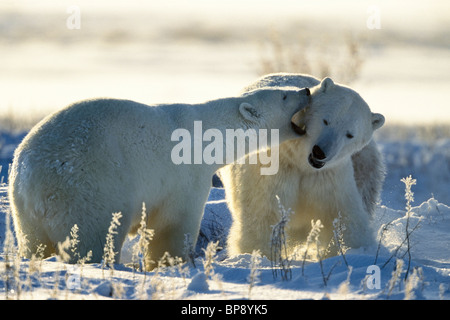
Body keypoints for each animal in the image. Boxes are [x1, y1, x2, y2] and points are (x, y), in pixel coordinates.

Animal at [7, 85, 310, 268]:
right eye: (284, 96)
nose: (306, 90)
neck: (207, 134)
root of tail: (31, 177)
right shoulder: (185, 176)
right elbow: (172, 226)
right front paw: (174, 262)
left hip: (24, 214)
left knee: (34, 244)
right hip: (90, 190)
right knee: (92, 237)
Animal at [220, 72, 384, 258]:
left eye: (350, 134)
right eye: (326, 120)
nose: (320, 151)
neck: (300, 160)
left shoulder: (330, 175)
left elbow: (343, 215)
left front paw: (352, 249)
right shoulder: (274, 167)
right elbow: (263, 212)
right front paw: (260, 254)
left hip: (365, 162)